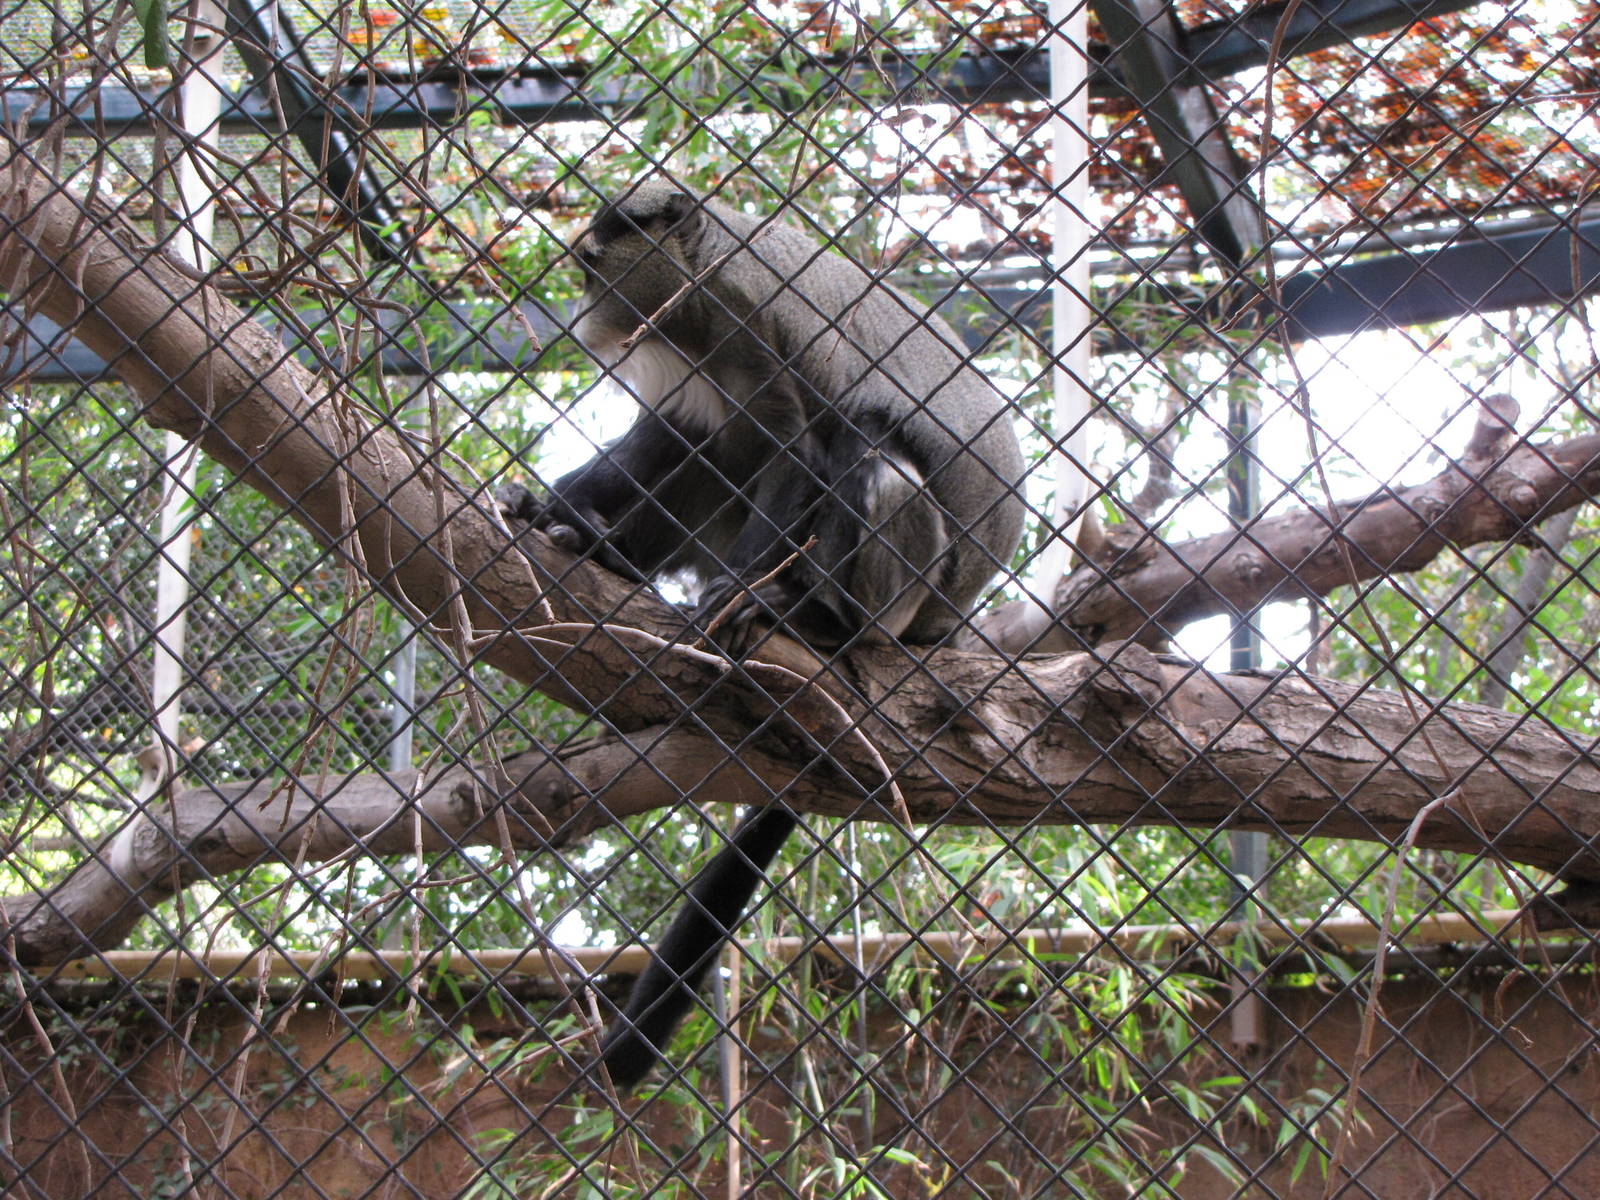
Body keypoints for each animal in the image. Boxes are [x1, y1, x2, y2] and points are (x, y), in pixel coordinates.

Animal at [503, 181, 1025, 1087]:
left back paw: (809, 616)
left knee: (867, 445)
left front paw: (737, 597)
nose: (582, 315)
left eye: (592, 266)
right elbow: (683, 437)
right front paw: (556, 508)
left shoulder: (760, 325)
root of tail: (949, 620)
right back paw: (596, 545)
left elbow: (798, 444)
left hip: (914, 587)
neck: (702, 283)